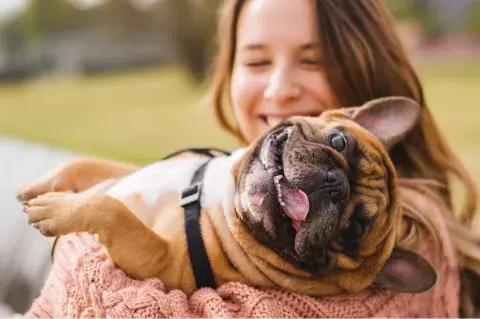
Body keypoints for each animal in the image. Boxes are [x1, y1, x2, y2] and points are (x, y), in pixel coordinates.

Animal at [18, 96, 436, 296]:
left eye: (353, 229)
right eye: (338, 142)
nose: (335, 184)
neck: (221, 196)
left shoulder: (159, 260)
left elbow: (111, 209)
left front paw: (56, 209)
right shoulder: (127, 173)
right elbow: (88, 165)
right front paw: (41, 186)